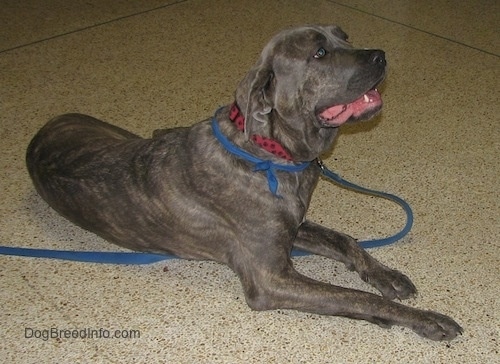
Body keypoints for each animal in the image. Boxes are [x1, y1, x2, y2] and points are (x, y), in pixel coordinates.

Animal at [25, 25, 460, 342]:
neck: (272, 152)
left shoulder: (294, 226)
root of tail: (44, 129)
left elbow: (346, 241)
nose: (381, 55)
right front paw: (420, 318)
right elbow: (355, 297)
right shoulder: (271, 278)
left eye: (345, 37)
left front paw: (386, 275)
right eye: (319, 53)